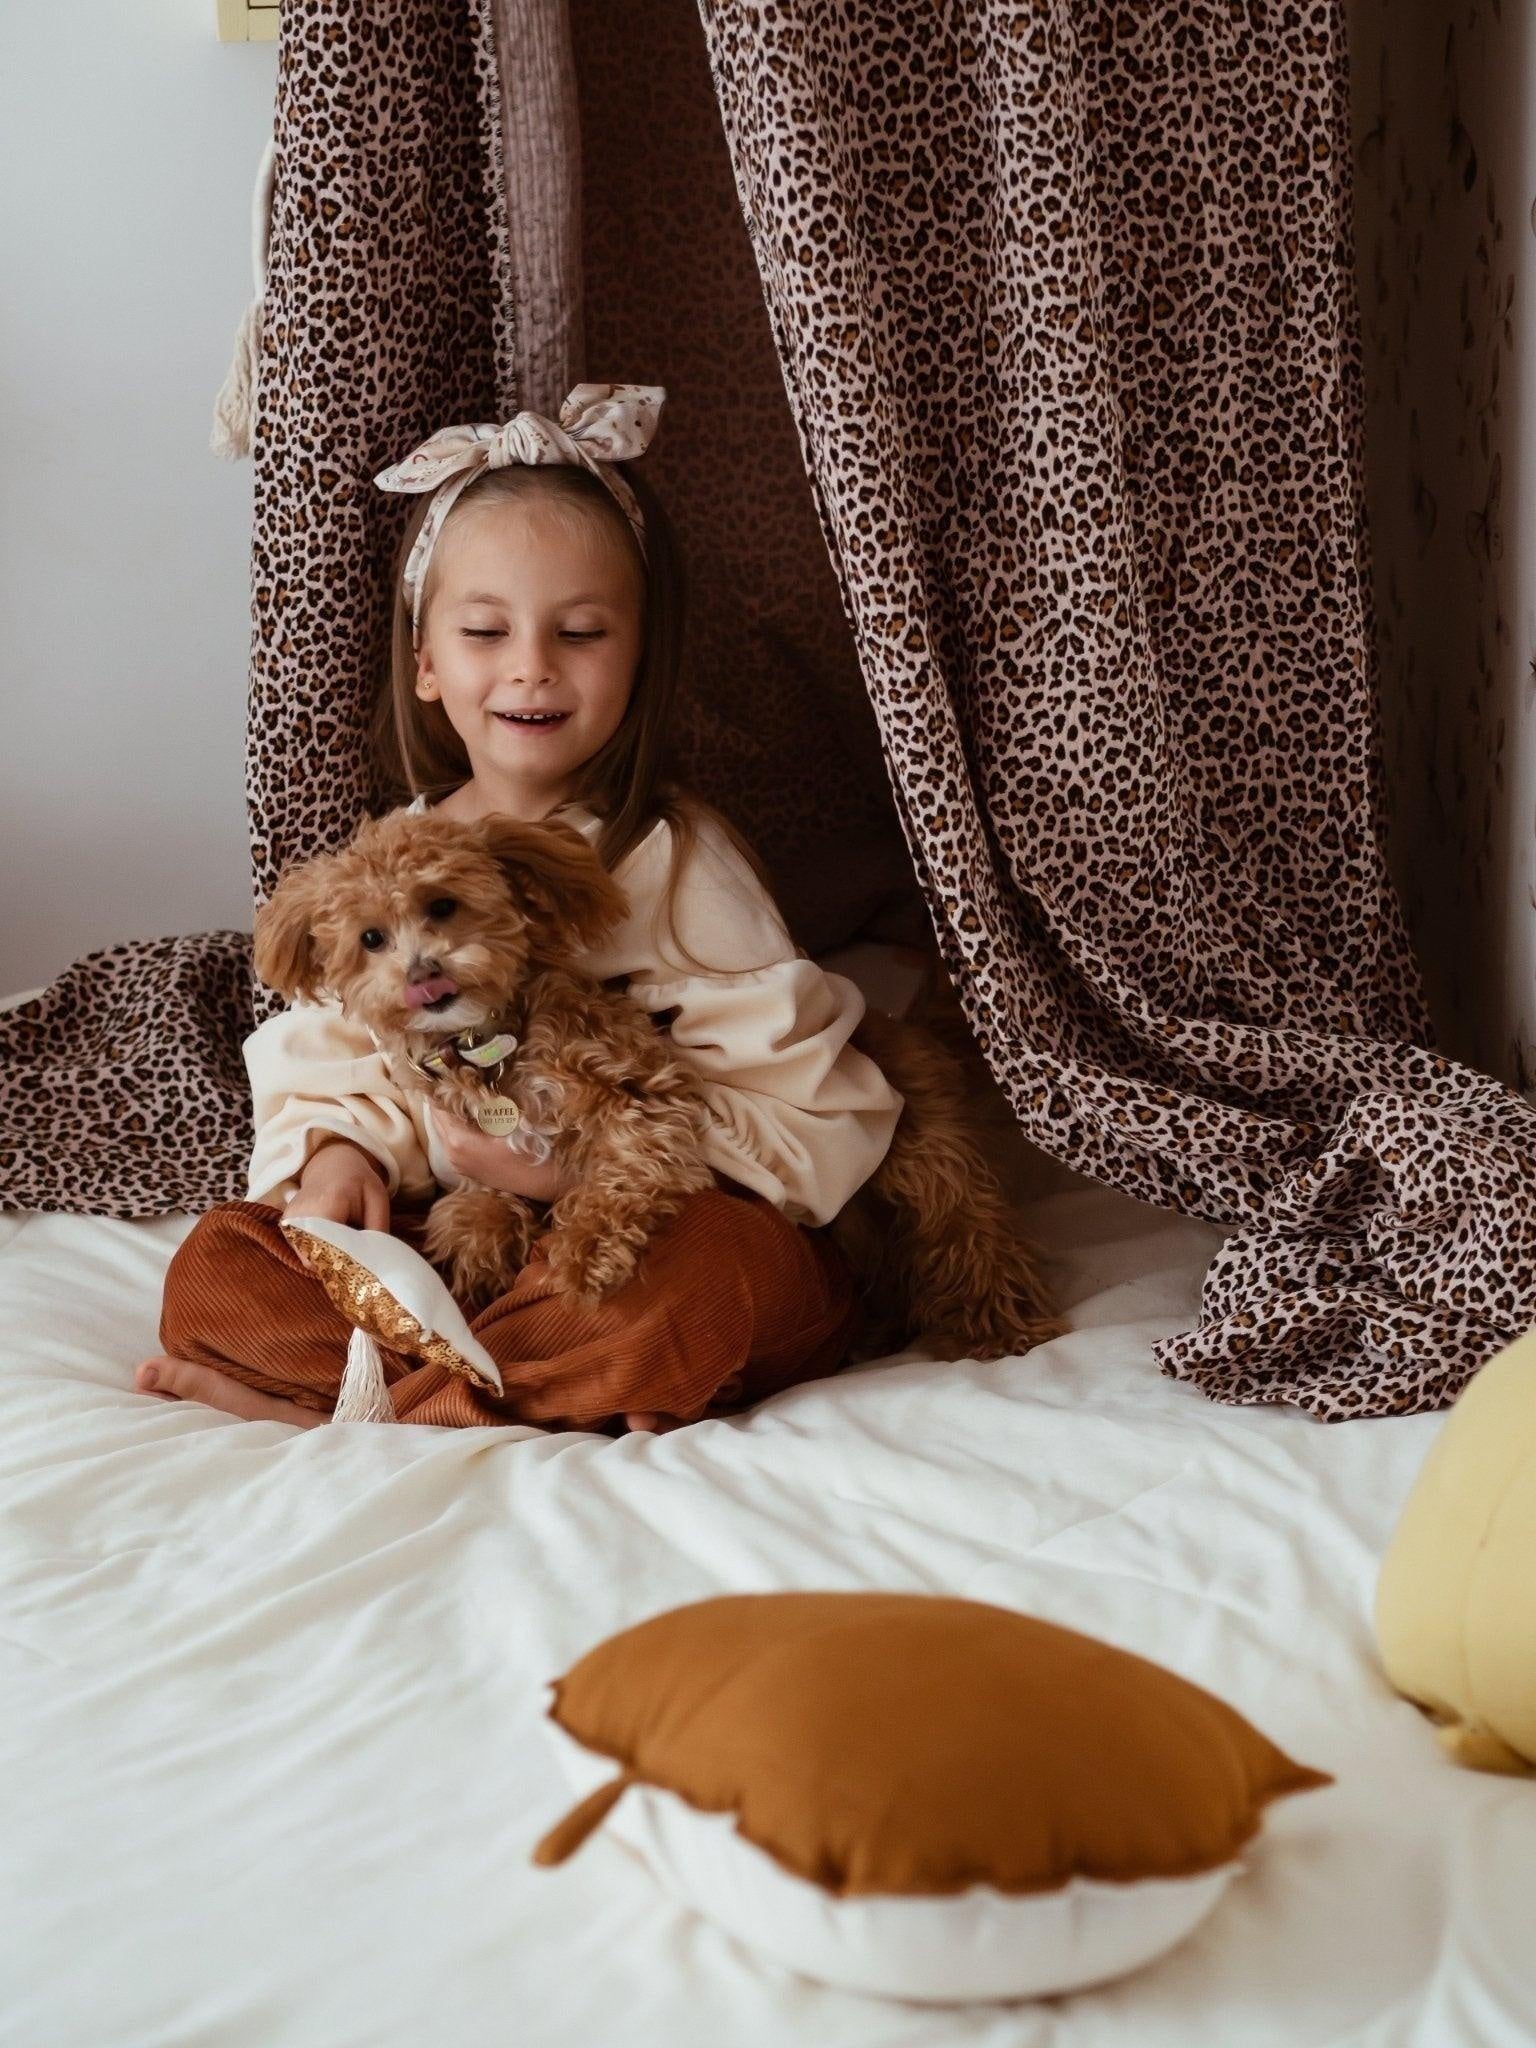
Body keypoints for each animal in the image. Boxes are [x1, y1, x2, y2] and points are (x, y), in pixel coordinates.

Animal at [259, 802, 1064, 1359]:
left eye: (442, 905)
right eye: (370, 938)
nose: (423, 974)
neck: (491, 1045)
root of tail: (894, 1019)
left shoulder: (643, 1093)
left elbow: (619, 1174)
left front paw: (583, 1257)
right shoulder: (481, 1154)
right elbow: (474, 1208)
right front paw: (477, 1257)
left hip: (920, 1153)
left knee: (966, 1227)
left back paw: (1000, 1322)